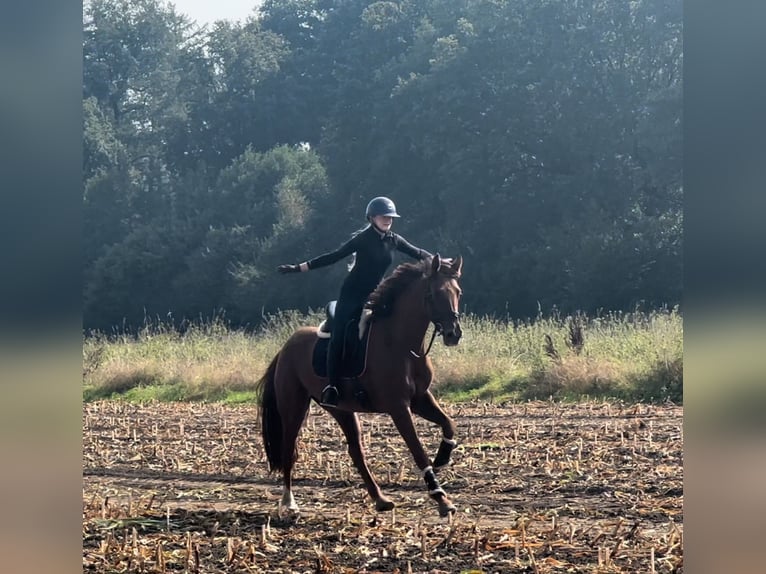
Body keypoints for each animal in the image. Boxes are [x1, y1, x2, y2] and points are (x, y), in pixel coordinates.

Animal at [258, 254, 464, 520]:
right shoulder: (398, 407)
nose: (453, 334)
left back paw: (380, 499)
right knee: (288, 449)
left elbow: (449, 424)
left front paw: (442, 457)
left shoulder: (420, 399)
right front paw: (441, 498)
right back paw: (289, 502)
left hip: (342, 410)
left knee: (356, 451)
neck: (402, 343)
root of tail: (285, 347)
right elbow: (417, 450)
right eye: (433, 293)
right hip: (293, 407)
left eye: (457, 292)